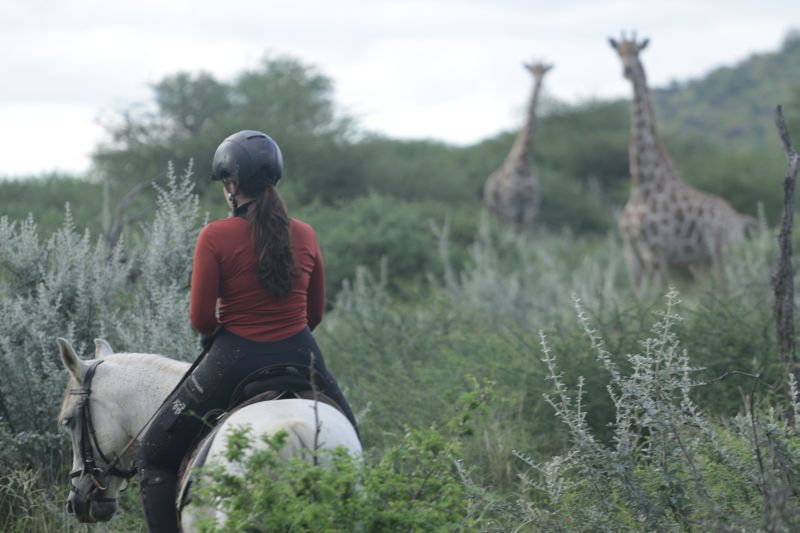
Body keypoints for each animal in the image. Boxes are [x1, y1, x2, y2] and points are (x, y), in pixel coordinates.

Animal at [482, 60, 552, 231]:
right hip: (491, 210)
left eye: (544, 71)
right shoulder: (510, 207)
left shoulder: (530, 209)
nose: (538, 82)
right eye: (532, 70)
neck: (524, 164)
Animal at [608, 34, 752, 288]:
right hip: (704, 260)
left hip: (727, 251)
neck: (640, 186)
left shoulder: (656, 250)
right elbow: (635, 295)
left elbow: (657, 294)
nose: (627, 71)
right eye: (619, 52)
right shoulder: (631, 251)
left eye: (637, 52)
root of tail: (738, 218)